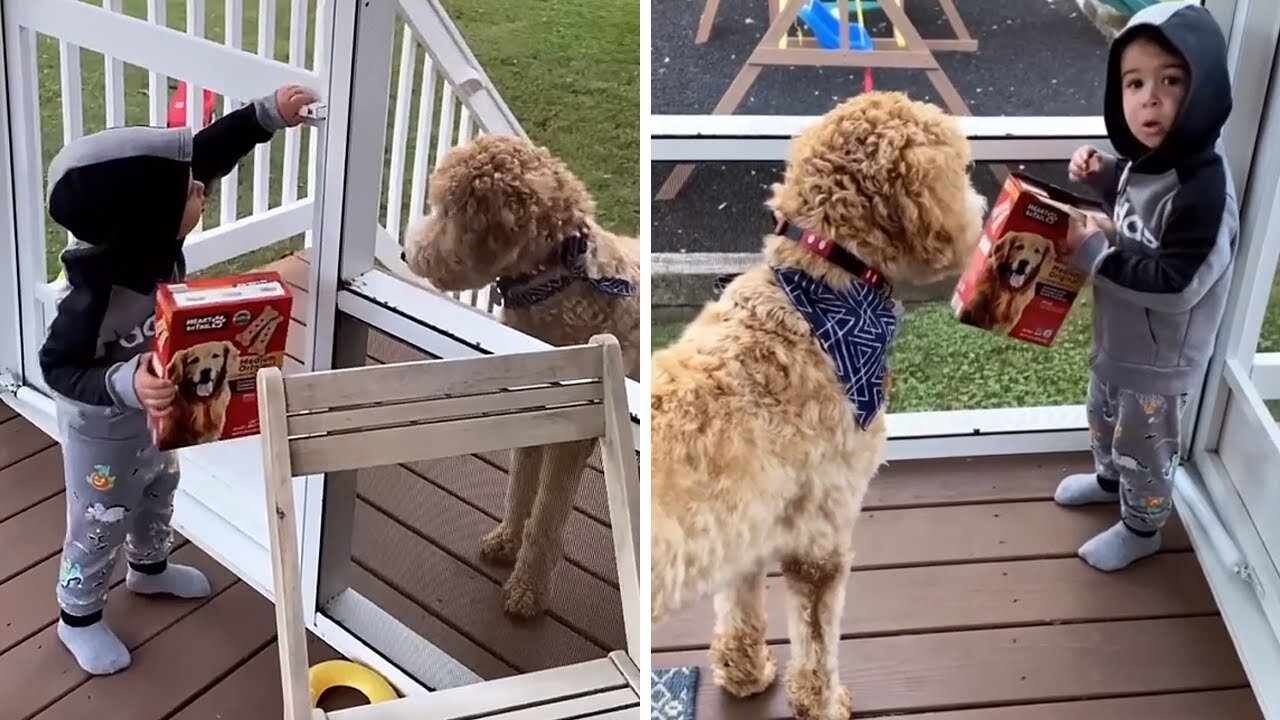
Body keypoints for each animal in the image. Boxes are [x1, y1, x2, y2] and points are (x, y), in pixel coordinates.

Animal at [401, 133, 637, 617]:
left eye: (447, 212)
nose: (405, 253)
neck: (556, 281)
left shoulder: (571, 435)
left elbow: (547, 513)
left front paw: (528, 588)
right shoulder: (529, 406)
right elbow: (520, 486)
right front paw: (507, 540)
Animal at [650, 92, 988, 717]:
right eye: (960, 166)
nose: (980, 213)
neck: (818, 299)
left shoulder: (747, 519)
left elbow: (740, 608)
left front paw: (744, 672)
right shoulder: (821, 534)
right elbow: (817, 641)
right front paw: (824, 704)